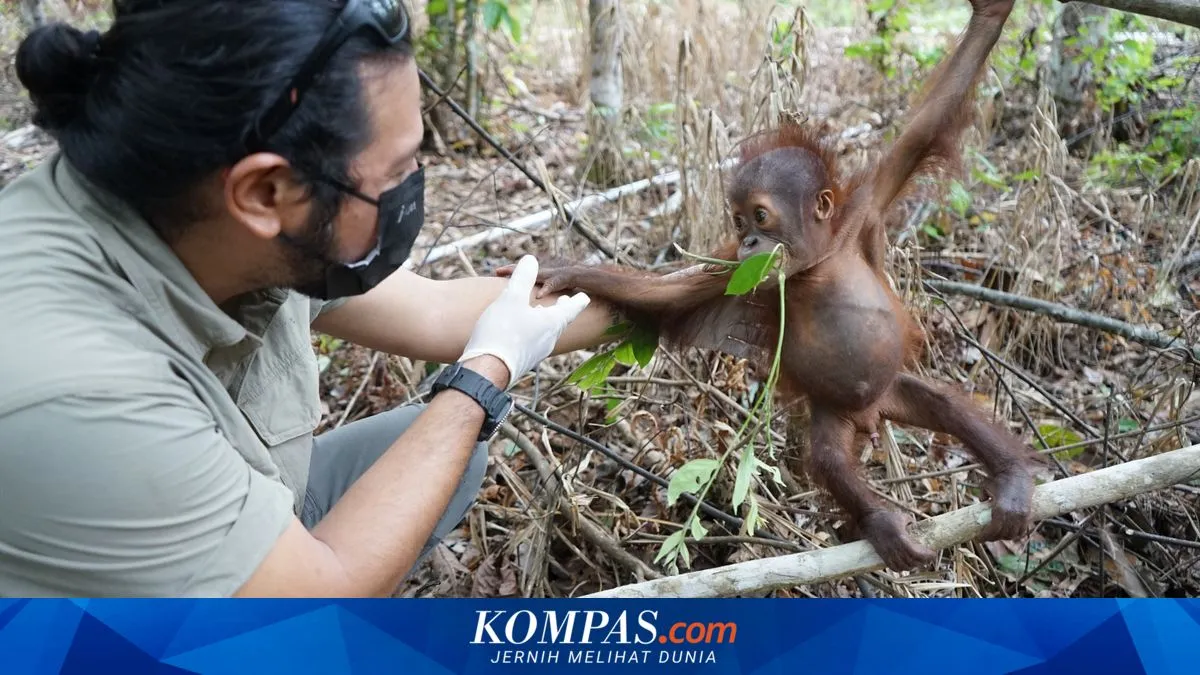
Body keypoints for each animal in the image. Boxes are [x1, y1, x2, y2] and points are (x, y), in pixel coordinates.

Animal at [498, 0, 1037, 571]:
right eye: (738, 224)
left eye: (760, 215)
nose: (752, 242)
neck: (816, 263)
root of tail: (871, 413)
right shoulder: (732, 271)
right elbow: (667, 296)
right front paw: (566, 272)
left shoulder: (864, 207)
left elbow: (927, 125)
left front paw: (991, 15)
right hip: (834, 413)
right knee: (827, 458)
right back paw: (882, 523)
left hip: (893, 386)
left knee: (947, 406)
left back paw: (1010, 479)